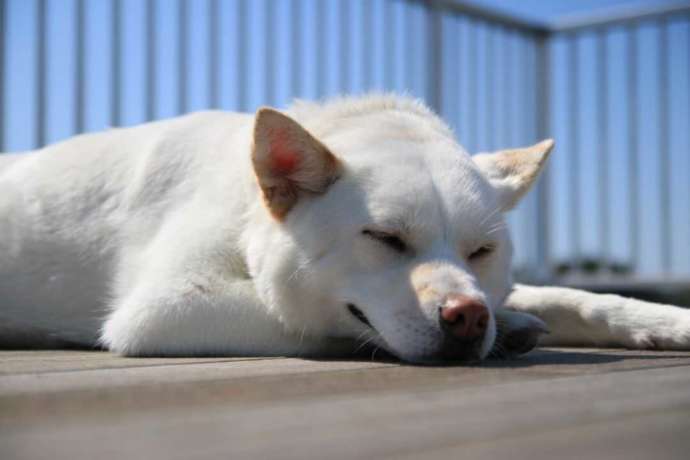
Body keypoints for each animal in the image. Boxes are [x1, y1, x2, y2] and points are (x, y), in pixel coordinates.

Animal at [1, 96, 688, 362]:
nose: (468, 317)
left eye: (482, 251)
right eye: (385, 240)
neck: (249, 199)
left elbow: (574, 297)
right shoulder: (164, 309)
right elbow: (310, 319)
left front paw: (660, 320)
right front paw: (513, 322)